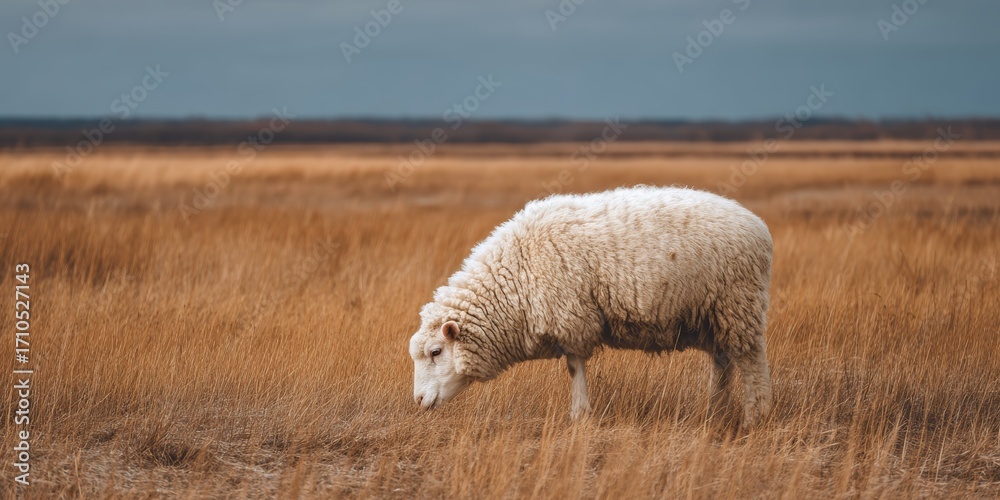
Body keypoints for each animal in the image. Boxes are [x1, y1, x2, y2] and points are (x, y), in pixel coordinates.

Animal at [408, 186, 773, 427]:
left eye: (436, 352)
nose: (419, 402)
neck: (517, 273)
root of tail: (758, 225)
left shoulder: (571, 317)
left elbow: (574, 367)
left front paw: (579, 416)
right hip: (715, 314)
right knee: (723, 361)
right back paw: (715, 411)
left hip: (739, 304)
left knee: (751, 361)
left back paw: (754, 417)